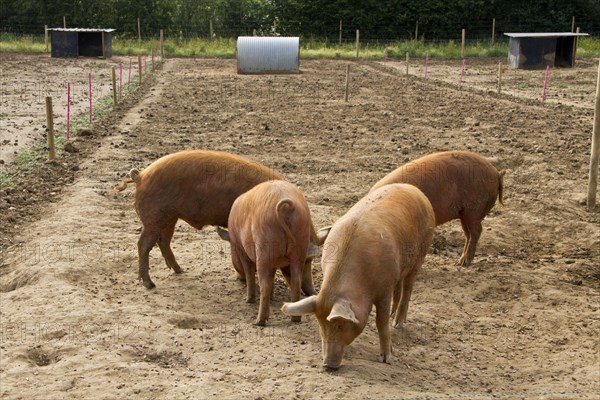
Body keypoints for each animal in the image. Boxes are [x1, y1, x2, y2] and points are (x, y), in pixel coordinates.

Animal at [113, 148, 318, 292]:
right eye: (303, 260)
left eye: (310, 260)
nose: (310, 291)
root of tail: (140, 176)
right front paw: (243, 279)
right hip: (154, 216)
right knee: (144, 244)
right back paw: (150, 284)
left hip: (170, 217)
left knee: (163, 241)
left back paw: (180, 270)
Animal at [219, 180, 314, 324]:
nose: (238, 277)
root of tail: (286, 207)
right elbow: (273, 276)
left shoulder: (242, 249)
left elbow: (249, 272)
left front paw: (248, 300)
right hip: (300, 245)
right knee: (296, 280)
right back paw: (295, 319)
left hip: (264, 247)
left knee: (264, 284)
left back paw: (259, 322)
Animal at [284, 184, 434, 368]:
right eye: (321, 324)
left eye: (341, 325)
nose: (328, 365)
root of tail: (414, 189)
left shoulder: (384, 290)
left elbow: (381, 322)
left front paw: (386, 359)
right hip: (400, 267)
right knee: (400, 286)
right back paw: (393, 316)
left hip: (421, 254)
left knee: (408, 288)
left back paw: (397, 324)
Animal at [370, 148, 502, 268]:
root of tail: (496, 172)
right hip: (464, 213)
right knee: (468, 234)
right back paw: (459, 262)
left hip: (474, 209)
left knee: (476, 231)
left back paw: (463, 263)